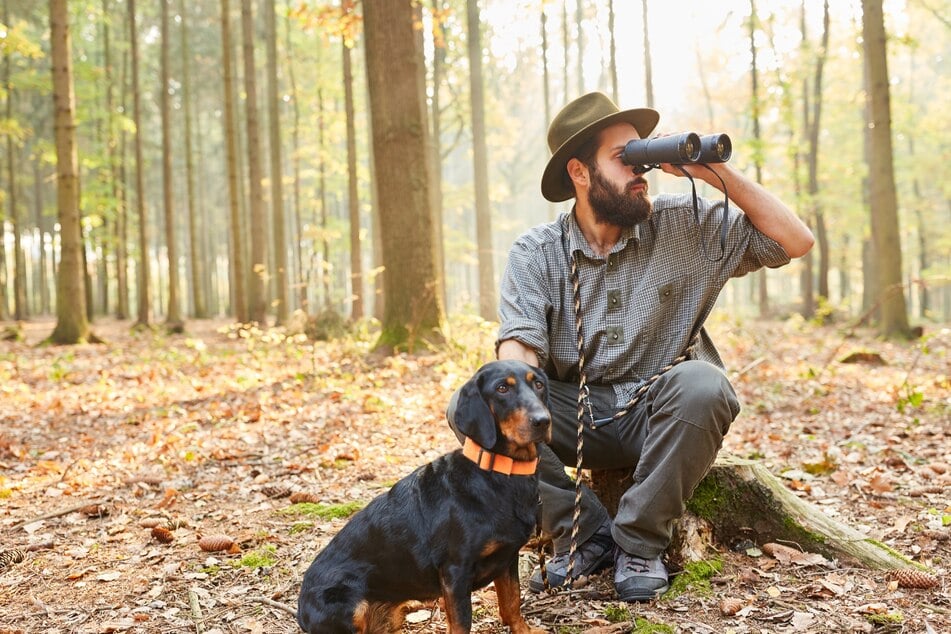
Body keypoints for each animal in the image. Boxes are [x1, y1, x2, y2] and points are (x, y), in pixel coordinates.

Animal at [298, 360, 552, 632]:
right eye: (502, 388)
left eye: (538, 384)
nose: (543, 421)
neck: (498, 473)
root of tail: (300, 608)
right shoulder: (455, 572)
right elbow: (463, 623)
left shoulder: (507, 558)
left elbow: (512, 603)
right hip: (350, 605)